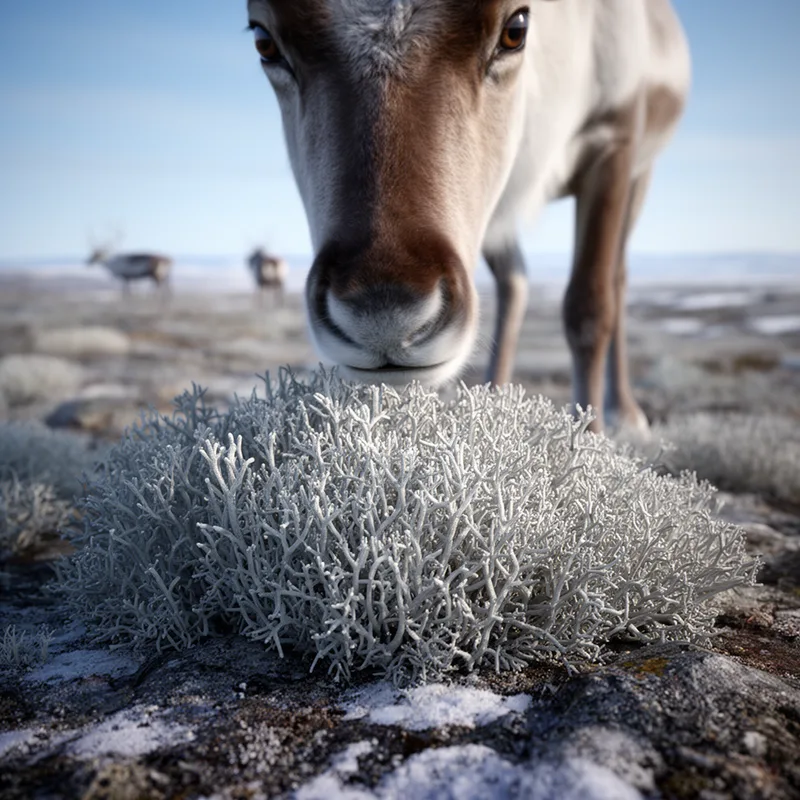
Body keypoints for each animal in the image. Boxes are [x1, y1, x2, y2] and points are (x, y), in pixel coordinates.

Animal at [246, 0, 690, 433]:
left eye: (516, 29)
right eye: (264, 42)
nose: (384, 317)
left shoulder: (614, 142)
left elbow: (590, 308)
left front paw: (590, 440)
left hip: (639, 176)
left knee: (617, 278)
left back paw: (625, 414)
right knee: (515, 282)